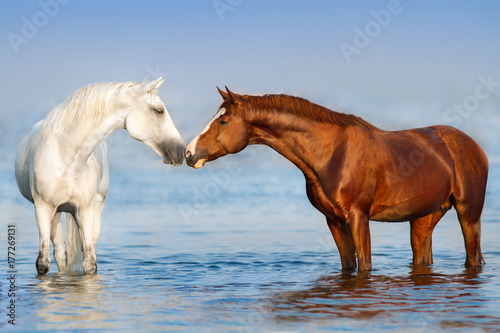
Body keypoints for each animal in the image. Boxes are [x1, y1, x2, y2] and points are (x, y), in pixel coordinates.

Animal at [14, 77, 186, 272]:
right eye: (159, 111)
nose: (181, 151)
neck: (66, 157)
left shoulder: (85, 211)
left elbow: (89, 262)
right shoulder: (42, 209)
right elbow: (43, 263)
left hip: (92, 210)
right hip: (55, 213)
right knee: (60, 252)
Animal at [187, 87, 488, 270]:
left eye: (223, 121)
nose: (190, 153)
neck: (332, 154)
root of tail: (474, 146)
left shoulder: (358, 217)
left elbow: (365, 266)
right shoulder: (334, 221)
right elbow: (349, 266)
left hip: (468, 214)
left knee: (473, 258)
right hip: (425, 217)